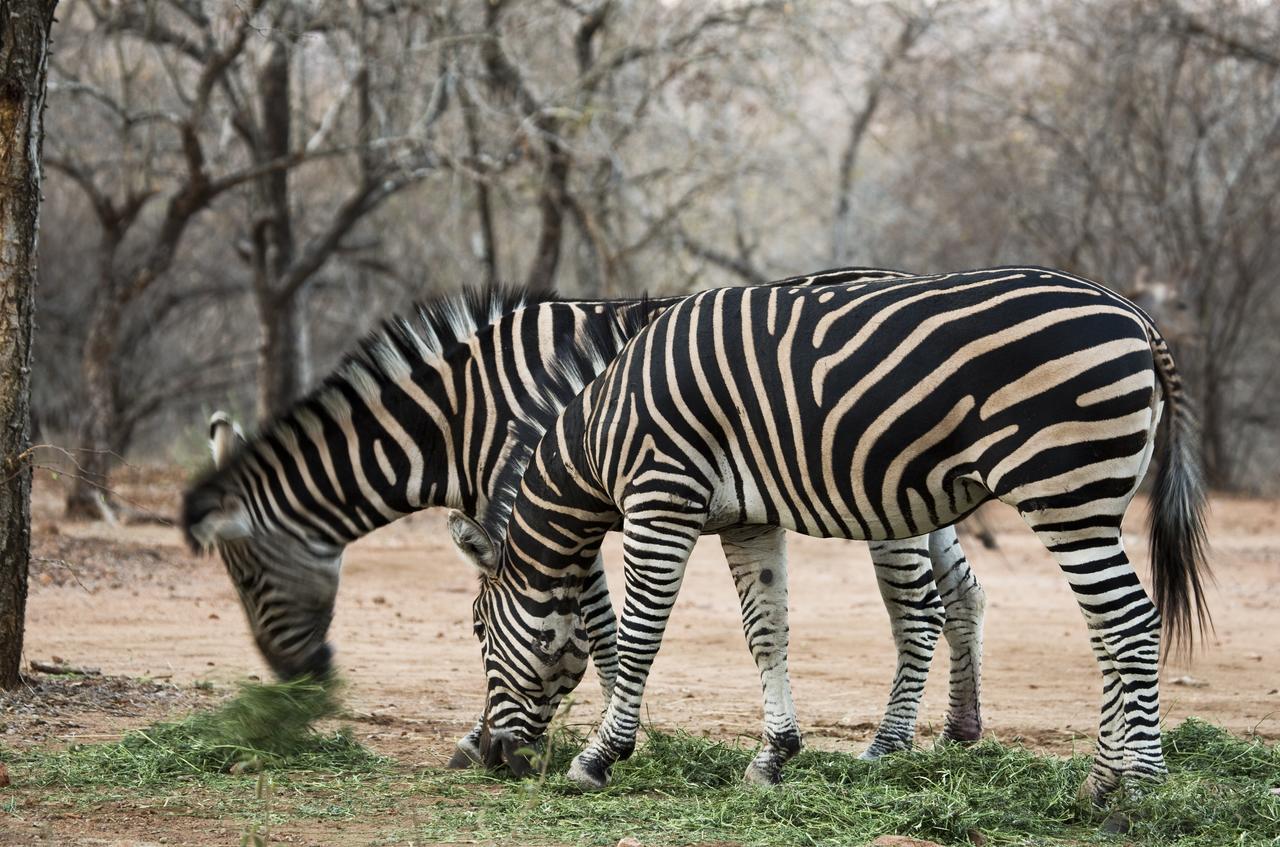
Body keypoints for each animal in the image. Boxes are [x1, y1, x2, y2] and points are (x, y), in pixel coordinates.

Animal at [177, 272, 977, 777]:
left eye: (247, 580)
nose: (299, 683)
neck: (458, 416)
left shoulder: (558, 501)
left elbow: (590, 625)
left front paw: (596, 739)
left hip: (880, 495)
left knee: (918, 610)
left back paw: (887, 749)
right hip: (927, 496)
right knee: (965, 593)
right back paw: (960, 734)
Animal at [453, 267, 1208, 803]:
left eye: (479, 630)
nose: (491, 758)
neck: (598, 432)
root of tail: (1135, 314)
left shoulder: (661, 499)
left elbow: (639, 635)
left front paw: (599, 758)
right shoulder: (746, 519)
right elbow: (766, 632)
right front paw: (772, 756)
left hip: (1065, 492)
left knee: (1131, 622)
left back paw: (1138, 788)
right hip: (1087, 503)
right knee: (1105, 628)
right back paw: (1099, 780)